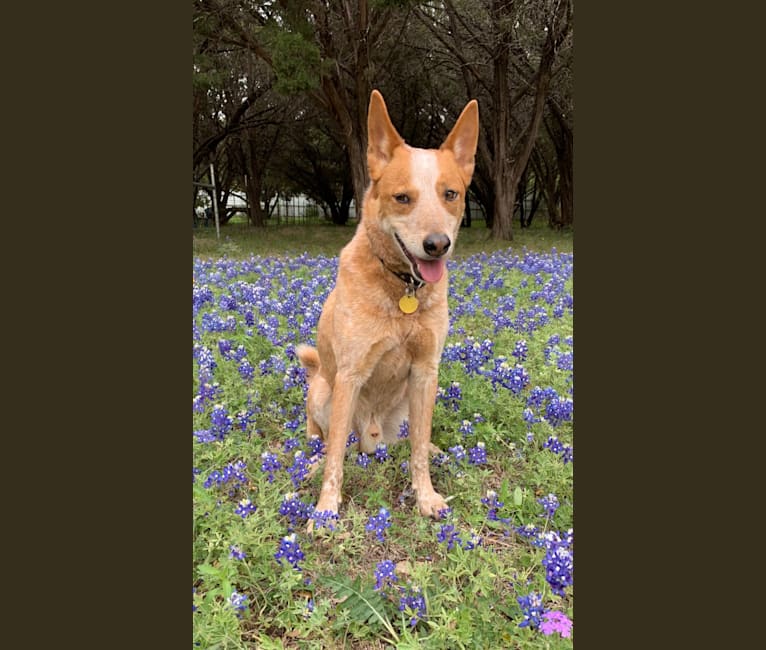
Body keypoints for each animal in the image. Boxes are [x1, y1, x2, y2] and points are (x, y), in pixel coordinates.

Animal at [300, 88, 480, 528]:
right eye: (402, 198)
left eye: (450, 194)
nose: (437, 244)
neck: (403, 287)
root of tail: (373, 440)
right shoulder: (349, 374)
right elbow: (334, 458)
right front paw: (325, 509)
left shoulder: (426, 370)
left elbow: (416, 449)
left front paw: (426, 496)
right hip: (324, 390)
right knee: (328, 442)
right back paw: (310, 464)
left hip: (407, 404)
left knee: (409, 437)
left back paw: (431, 449)